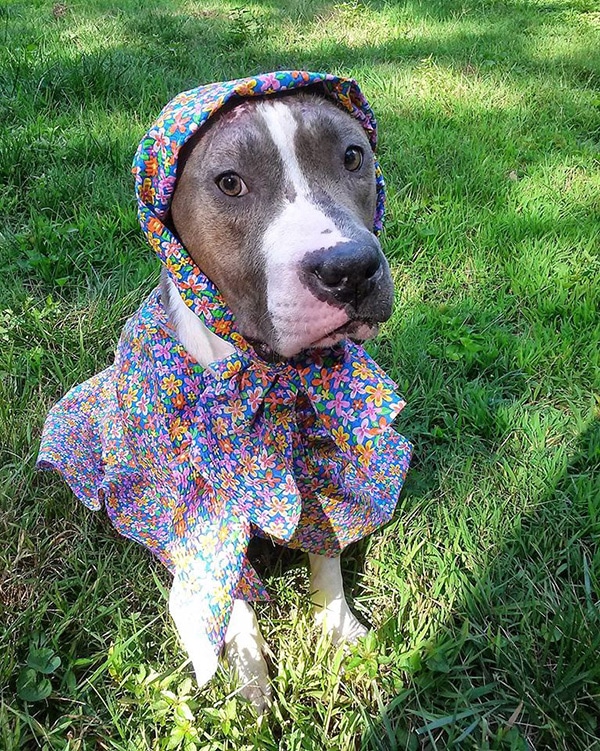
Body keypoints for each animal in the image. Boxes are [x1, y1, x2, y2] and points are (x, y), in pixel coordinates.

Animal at [37, 73, 412, 712]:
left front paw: (339, 630)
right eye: (229, 182)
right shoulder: (197, 507)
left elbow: (328, 549)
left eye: (352, 156)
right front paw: (247, 675)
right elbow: (223, 585)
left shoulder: (326, 461)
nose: (350, 269)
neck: (270, 373)